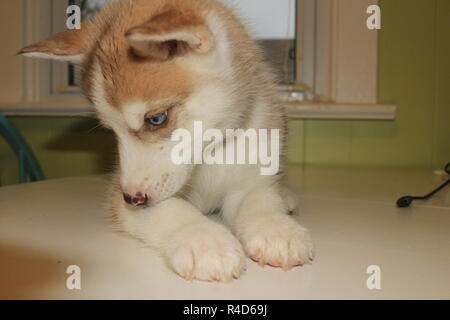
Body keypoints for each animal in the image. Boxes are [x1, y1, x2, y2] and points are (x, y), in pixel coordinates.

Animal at [20, 0, 312, 280]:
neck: (208, 157)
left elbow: (259, 199)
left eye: (156, 118)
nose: (131, 198)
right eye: (110, 129)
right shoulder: (121, 197)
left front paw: (275, 228)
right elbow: (171, 209)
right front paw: (204, 241)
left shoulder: (249, 179)